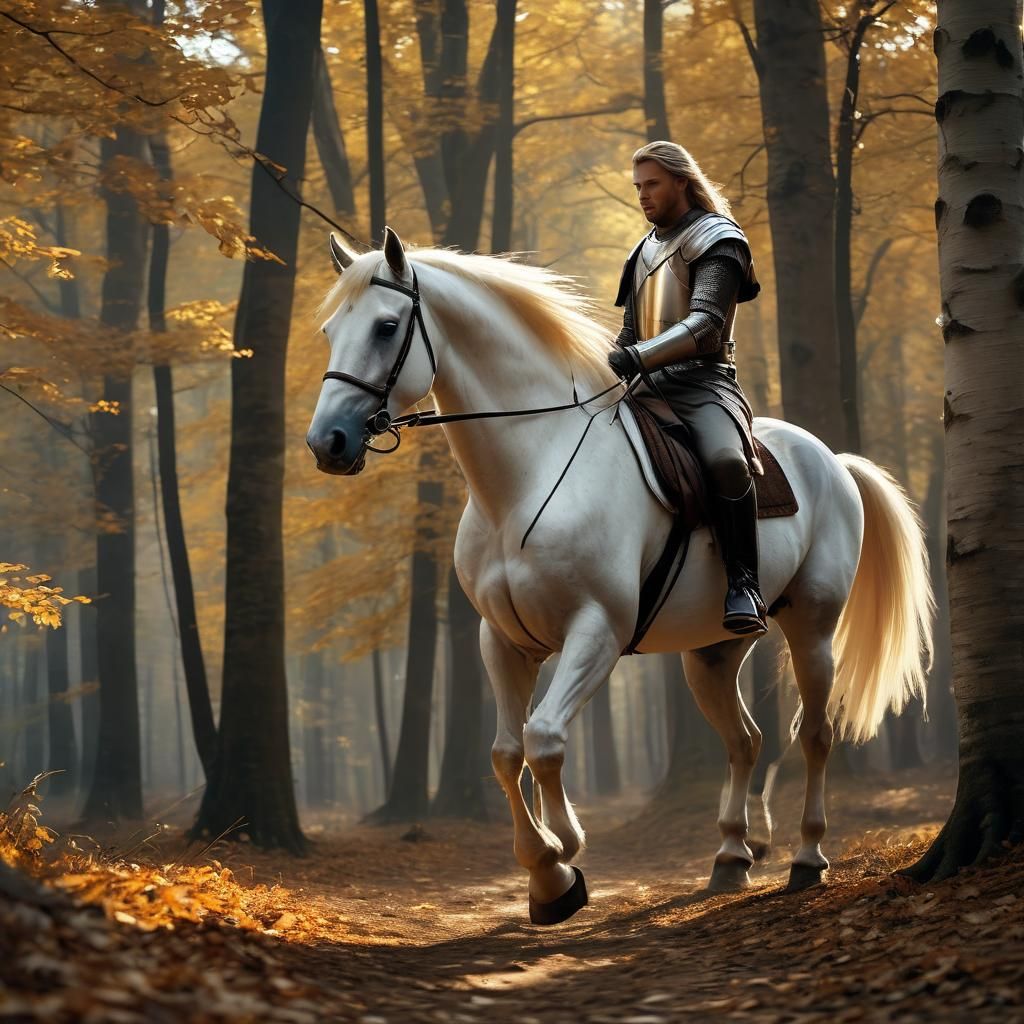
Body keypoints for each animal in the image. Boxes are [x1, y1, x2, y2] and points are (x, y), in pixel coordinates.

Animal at [306, 226, 934, 926]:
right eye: (331, 329)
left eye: (387, 326)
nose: (327, 442)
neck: (528, 474)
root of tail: (834, 460)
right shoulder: (503, 641)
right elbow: (506, 752)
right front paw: (546, 872)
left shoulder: (596, 633)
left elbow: (544, 739)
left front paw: (562, 856)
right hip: (712, 652)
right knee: (745, 740)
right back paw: (731, 856)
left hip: (812, 628)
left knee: (816, 735)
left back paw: (806, 857)